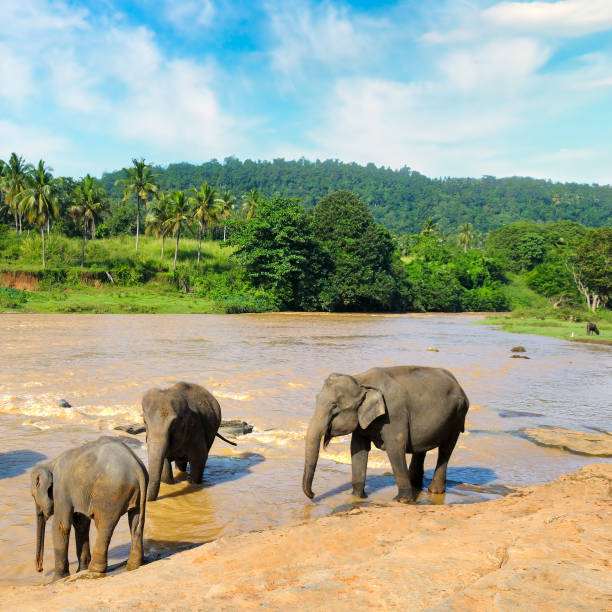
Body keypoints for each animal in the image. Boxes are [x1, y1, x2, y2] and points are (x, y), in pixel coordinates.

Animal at [31, 436, 149, 580]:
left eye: (33, 496)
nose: (40, 569)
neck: (50, 463)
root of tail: (137, 467)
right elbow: (81, 522)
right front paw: (80, 570)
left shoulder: (61, 488)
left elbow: (61, 526)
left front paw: (57, 579)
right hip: (136, 493)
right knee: (136, 522)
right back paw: (134, 565)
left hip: (110, 494)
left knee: (104, 525)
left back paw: (95, 569)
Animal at [302, 366, 468, 504]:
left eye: (334, 407)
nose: (313, 495)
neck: (360, 380)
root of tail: (459, 385)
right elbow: (358, 449)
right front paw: (357, 496)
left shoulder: (393, 415)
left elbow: (395, 448)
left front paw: (402, 500)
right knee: (421, 449)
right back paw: (417, 486)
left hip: (457, 417)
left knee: (446, 449)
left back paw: (434, 491)